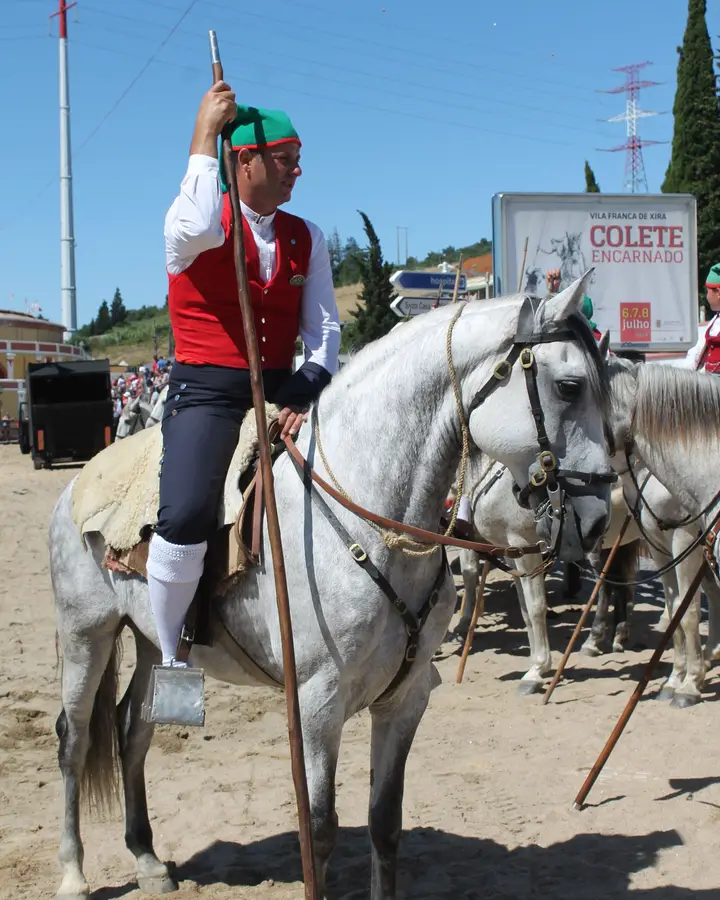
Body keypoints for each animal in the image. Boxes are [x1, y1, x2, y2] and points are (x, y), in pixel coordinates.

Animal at [50, 284, 612, 900]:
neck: (371, 516)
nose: (598, 521)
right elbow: (318, 832)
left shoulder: (406, 697)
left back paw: (147, 857)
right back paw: (73, 872)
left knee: (133, 730)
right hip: (86, 635)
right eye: (569, 386)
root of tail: (77, 483)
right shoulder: (317, 704)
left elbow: (385, 822)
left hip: (154, 642)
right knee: (75, 738)